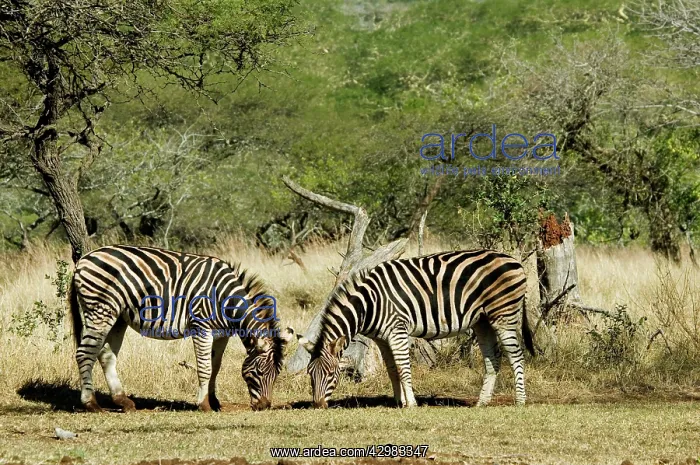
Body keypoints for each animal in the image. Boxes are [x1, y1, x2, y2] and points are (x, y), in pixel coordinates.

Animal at [68, 245, 294, 412]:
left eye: (277, 373)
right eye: (259, 372)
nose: (264, 406)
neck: (225, 299)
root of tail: (84, 259)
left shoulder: (222, 335)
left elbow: (215, 367)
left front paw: (214, 402)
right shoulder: (201, 327)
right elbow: (205, 367)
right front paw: (204, 405)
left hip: (118, 317)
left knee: (106, 355)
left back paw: (122, 401)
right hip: (100, 309)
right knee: (84, 353)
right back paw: (91, 404)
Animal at [298, 249, 534, 408]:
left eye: (331, 373)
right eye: (310, 373)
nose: (318, 405)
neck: (370, 304)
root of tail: (515, 260)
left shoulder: (397, 329)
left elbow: (403, 367)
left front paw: (411, 403)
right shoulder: (382, 338)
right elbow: (392, 369)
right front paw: (398, 401)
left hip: (503, 313)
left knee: (516, 355)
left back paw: (520, 400)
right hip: (483, 319)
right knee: (492, 357)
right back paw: (482, 401)